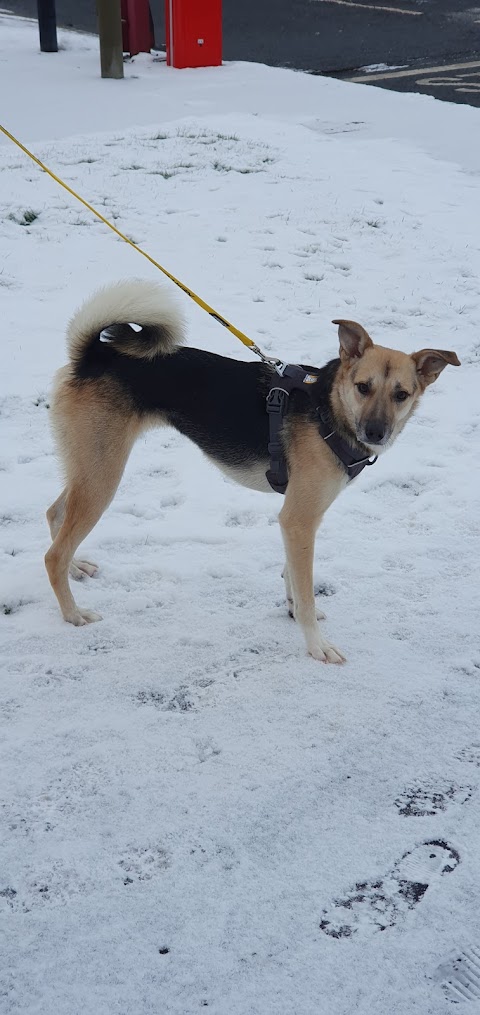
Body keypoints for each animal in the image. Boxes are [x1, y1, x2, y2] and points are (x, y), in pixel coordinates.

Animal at [45, 278, 460, 661]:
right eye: (362, 387)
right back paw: (73, 613)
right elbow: (305, 591)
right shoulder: (299, 518)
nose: (375, 432)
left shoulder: (294, 520)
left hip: (89, 467)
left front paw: (291, 611)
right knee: (53, 555)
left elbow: (291, 577)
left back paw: (76, 567)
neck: (328, 409)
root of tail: (95, 356)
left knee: (55, 515)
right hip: (103, 476)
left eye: (401, 395)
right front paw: (317, 646)